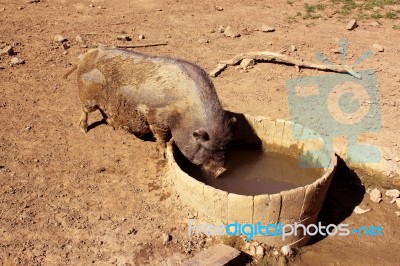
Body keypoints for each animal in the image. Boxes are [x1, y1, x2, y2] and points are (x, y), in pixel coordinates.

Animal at [63, 46, 236, 178]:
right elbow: (161, 138)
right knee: (85, 110)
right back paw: (83, 129)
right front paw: (163, 155)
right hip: (87, 97)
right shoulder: (155, 117)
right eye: (205, 148)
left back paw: (113, 126)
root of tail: (85, 56)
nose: (222, 172)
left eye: (225, 147)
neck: (183, 115)